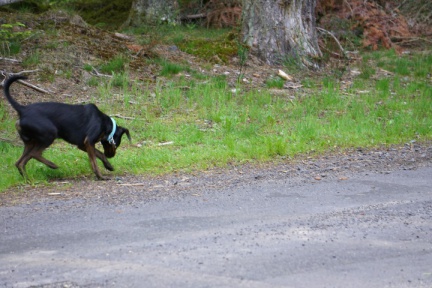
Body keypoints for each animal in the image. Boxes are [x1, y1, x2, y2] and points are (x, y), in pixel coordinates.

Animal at [2, 76, 131, 180]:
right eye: (116, 144)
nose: (112, 156)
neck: (105, 124)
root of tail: (22, 110)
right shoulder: (88, 142)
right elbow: (94, 161)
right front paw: (100, 176)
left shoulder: (83, 144)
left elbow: (99, 154)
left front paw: (108, 166)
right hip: (49, 134)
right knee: (35, 154)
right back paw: (52, 165)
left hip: (30, 142)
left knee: (20, 162)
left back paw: (28, 179)